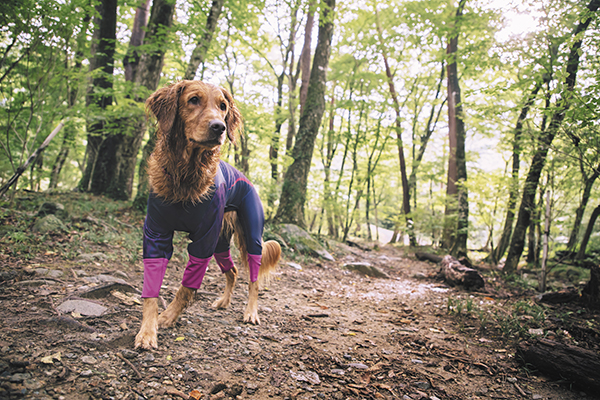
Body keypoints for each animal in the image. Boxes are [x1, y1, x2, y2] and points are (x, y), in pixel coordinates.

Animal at [136, 79, 284, 348]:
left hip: (251, 237)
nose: (220, 127)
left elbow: (186, 287)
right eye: (193, 100)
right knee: (233, 271)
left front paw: (168, 317)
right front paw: (147, 331)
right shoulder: (156, 234)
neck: (185, 174)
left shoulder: (203, 241)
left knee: (254, 280)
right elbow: (151, 290)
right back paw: (224, 301)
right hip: (220, 242)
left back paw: (251, 312)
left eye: (223, 106)